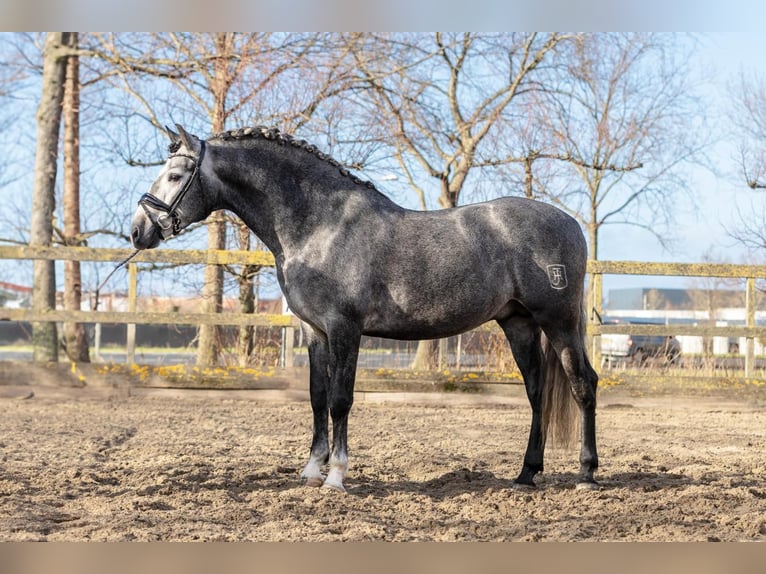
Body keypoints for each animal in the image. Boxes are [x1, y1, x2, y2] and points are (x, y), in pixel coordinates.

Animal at [130, 124, 600, 492]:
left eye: (175, 175)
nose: (137, 231)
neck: (320, 225)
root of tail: (572, 224)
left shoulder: (345, 328)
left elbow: (341, 400)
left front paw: (336, 477)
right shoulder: (315, 331)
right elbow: (317, 398)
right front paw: (311, 471)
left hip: (557, 322)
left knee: (582, 384)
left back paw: (586, 473)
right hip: (517, 322)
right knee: (537, 389)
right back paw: (526, 474)